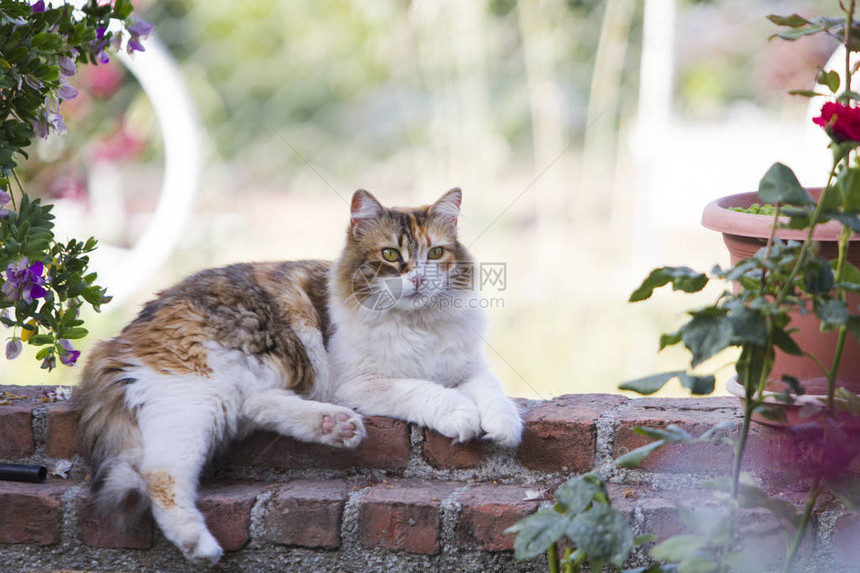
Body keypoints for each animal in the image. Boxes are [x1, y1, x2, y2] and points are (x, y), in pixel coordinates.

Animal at [74, 188, 520, 564]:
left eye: (437, 253)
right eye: (392, 254)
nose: (418, 279)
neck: (418, 325)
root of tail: (115, 340)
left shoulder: (468, 367)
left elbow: (492, 393)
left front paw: (504, 427)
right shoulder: (358, 382)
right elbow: (423, 391)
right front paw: (461, 415)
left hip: (227, 397)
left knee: (254, 406)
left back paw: (334, 426)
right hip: (201, 396)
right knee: (160, 475)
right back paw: (198, 545)